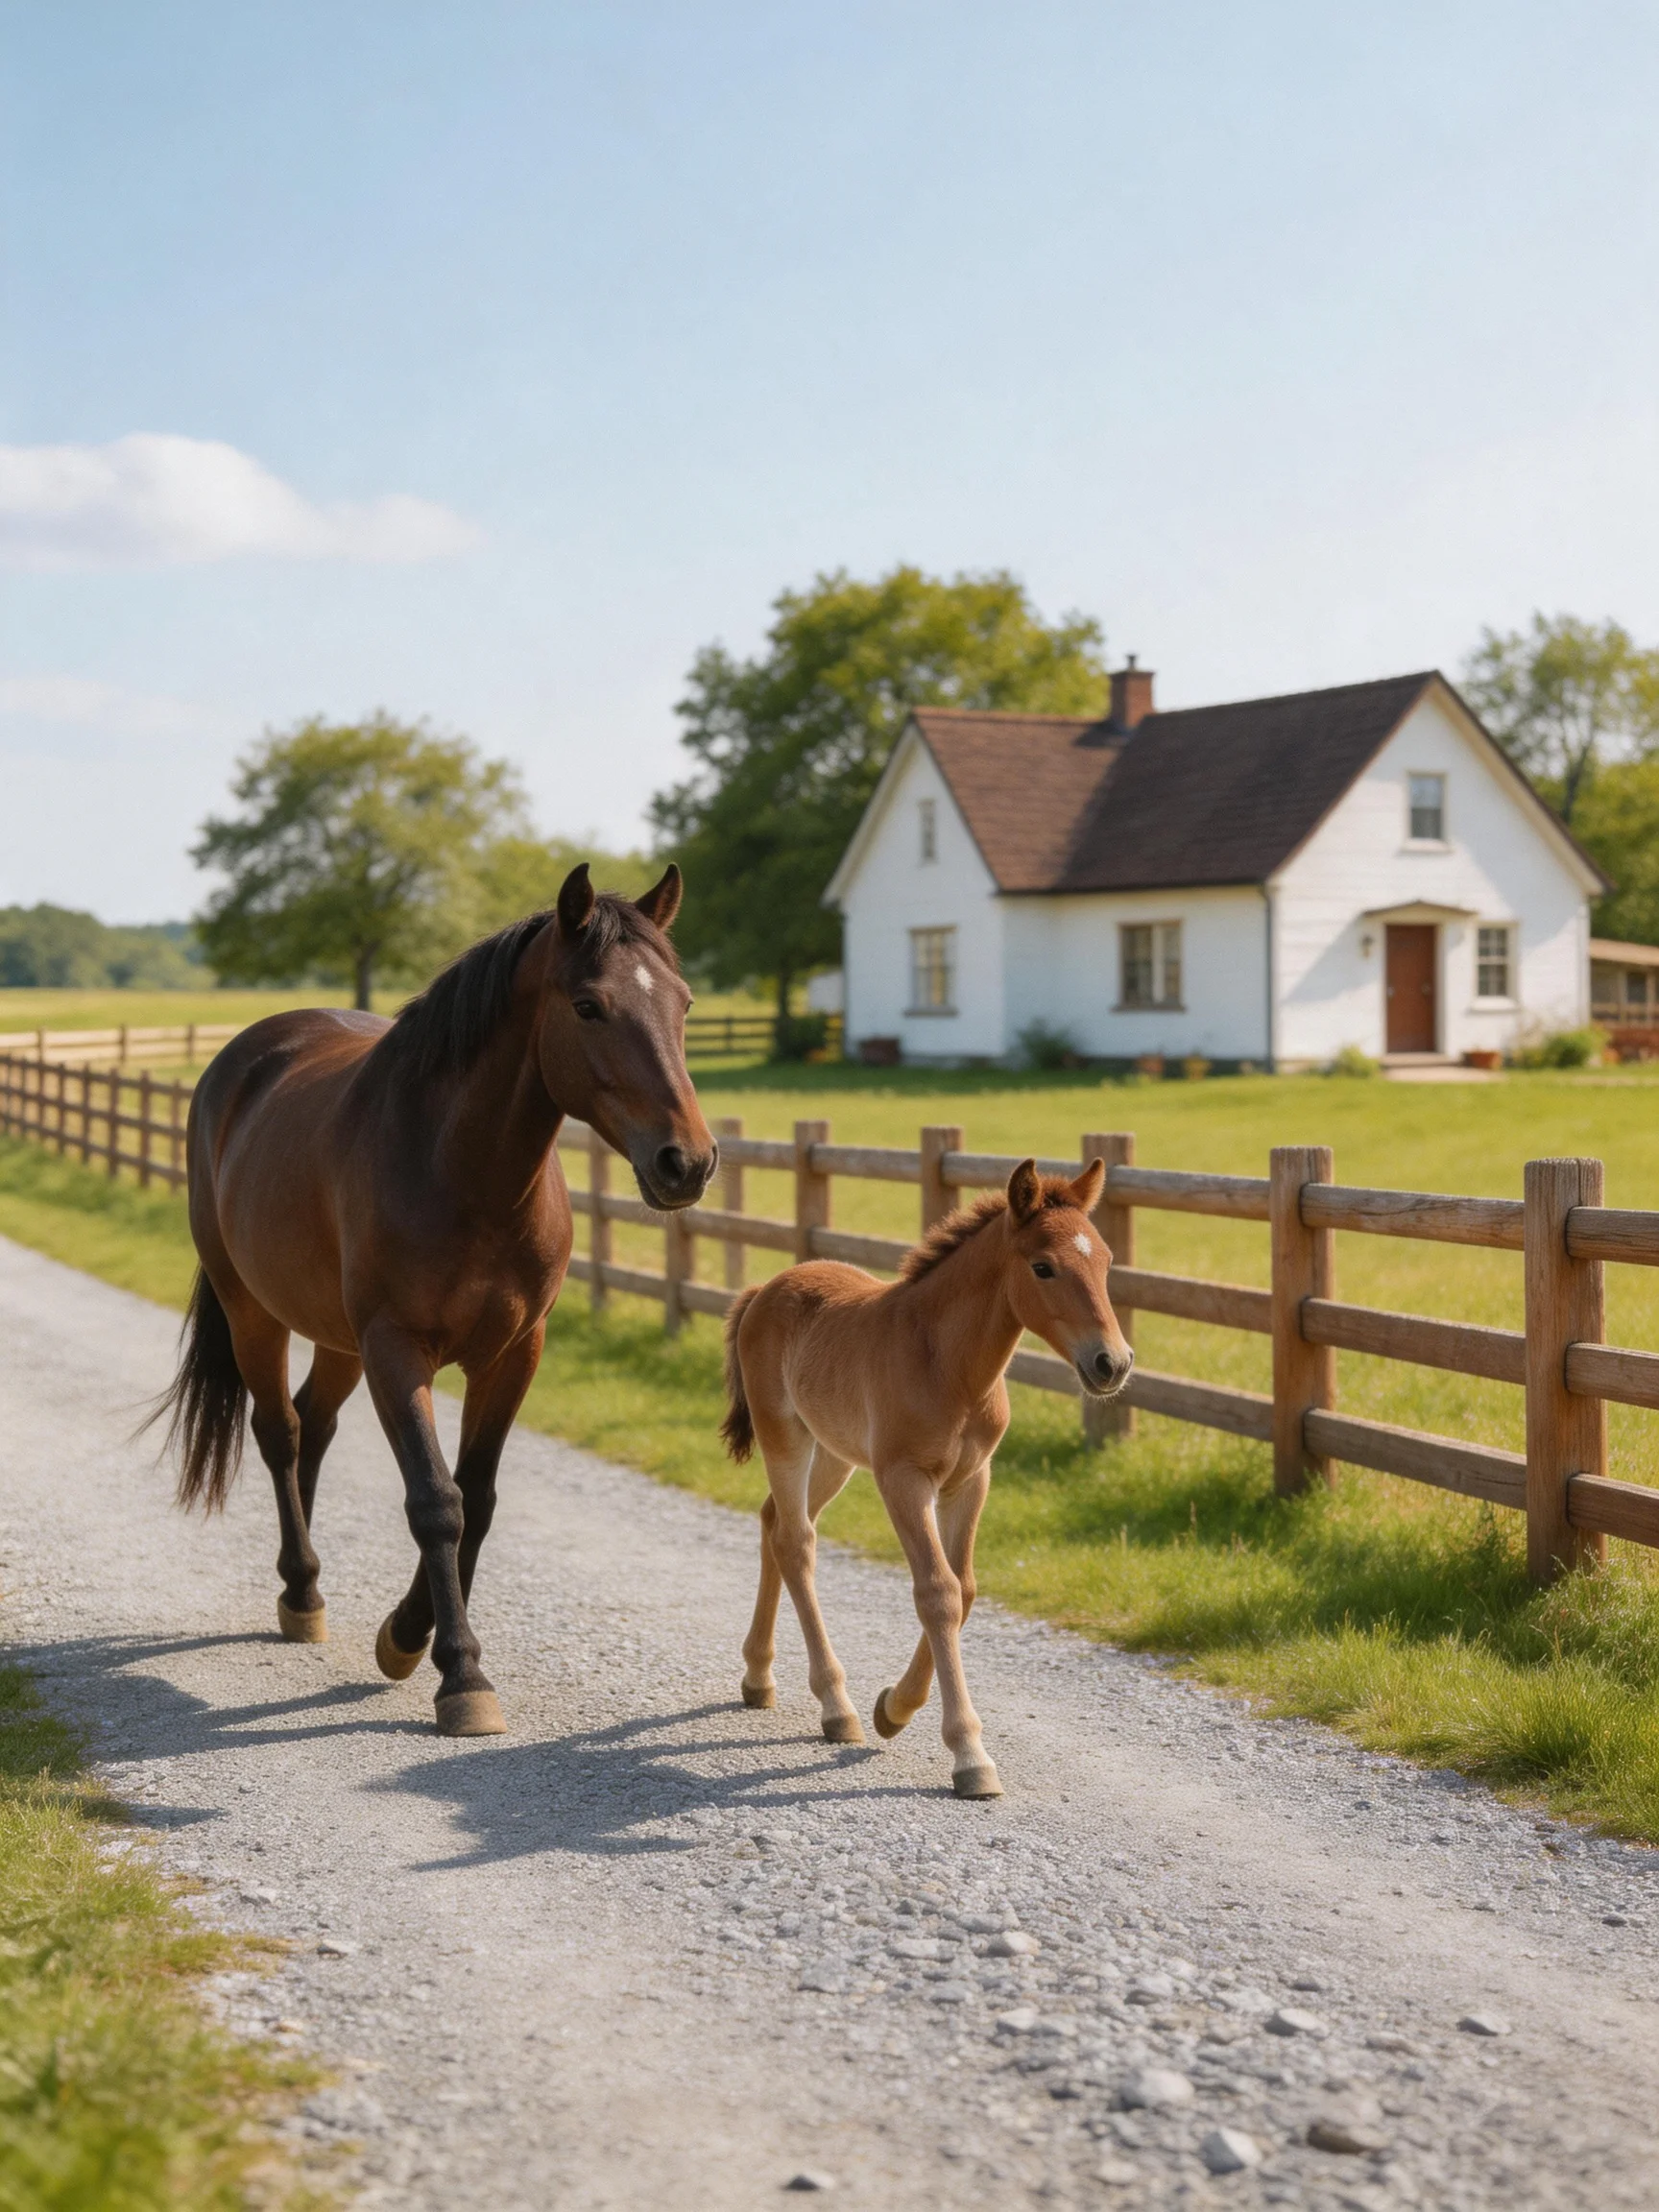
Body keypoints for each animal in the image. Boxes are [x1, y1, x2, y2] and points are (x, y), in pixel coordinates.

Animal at [152, 863, 715, 1736]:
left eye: (684, 1004)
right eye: (589, 1005)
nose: (686, 1162)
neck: (462, 1171)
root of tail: (244, 1059)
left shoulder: (515, 1353)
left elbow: (474, 1497)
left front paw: (408, 1633)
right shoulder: (396, 1349)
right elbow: (435, 1501)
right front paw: (459, 1673)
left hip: (337, 1339)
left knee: (314, 1427)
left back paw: (306, 1590)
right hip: (255, 1312)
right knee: (280, 1433)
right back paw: (301, 1586)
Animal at [719, 1156, 1131, 1798]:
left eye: (1107, 1262)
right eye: (1043, 1266)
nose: (1112, 1363)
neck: (947, 1364)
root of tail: (766, 1289)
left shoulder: (972, 1480)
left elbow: (964, 1590)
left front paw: (894, 1708)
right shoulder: (903, 1481)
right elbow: (936, 1592)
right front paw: (969, 1755)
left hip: (834, 1452)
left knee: (773, 1524)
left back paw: (760, 1678)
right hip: (784, 1435)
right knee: (797, 1541)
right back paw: (835, 1706)